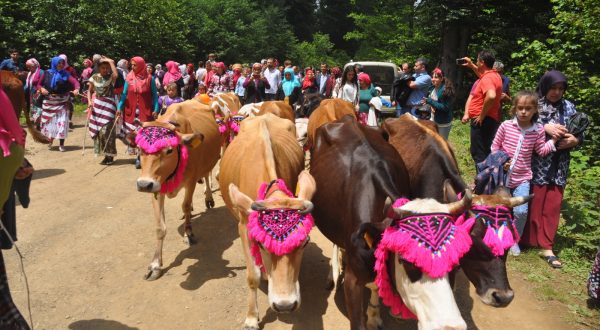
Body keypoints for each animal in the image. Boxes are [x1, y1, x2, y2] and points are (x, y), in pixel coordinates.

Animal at [132, 99, 223, 280]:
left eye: (169, 150)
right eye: (139, 148)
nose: (144, 185)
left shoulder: (191, 181)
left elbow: (186, 205)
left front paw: (189, 234)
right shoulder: (156, 188)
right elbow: (160, 227)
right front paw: (155, 265)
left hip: (208, 161)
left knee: (207, 174)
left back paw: (208, 198)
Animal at [218, 113, 316, 330]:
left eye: (304, 243)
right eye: (261, 243)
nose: (285, 305)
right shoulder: (244, 226)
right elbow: (252, 275)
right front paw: (251, 318)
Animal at [310, 115, 474, 330]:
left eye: (456, 261)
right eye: (406, 260)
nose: (449, 327)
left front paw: (374, 315)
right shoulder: (353, 281)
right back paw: (334, 272)